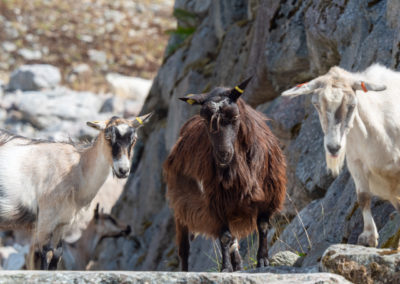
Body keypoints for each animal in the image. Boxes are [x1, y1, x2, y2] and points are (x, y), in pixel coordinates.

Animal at [0, 113, 152, 268]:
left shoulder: (63, 222)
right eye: (108, 137)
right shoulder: (45, 220)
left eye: (134, 139)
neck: (77, 169)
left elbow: (57, 254)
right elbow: (46, 254)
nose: (123, 170)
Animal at [164, 79, 286, 272]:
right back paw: (185, 270)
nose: (223, 155)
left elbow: (263, 227)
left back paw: (238, 264)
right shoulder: (216, 204)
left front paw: (263, 260)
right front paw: (225, 268)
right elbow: (225, 237)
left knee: (234, 239)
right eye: (205, 120)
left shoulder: (268, 197)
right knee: (184, 248)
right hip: (181, 206)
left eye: (235, 117)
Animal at [282, 65, 400, 248]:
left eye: (352, 105)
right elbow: (363, 197)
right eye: (316, 104)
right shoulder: (355, 162)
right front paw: (368, 237)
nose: (333, 147)